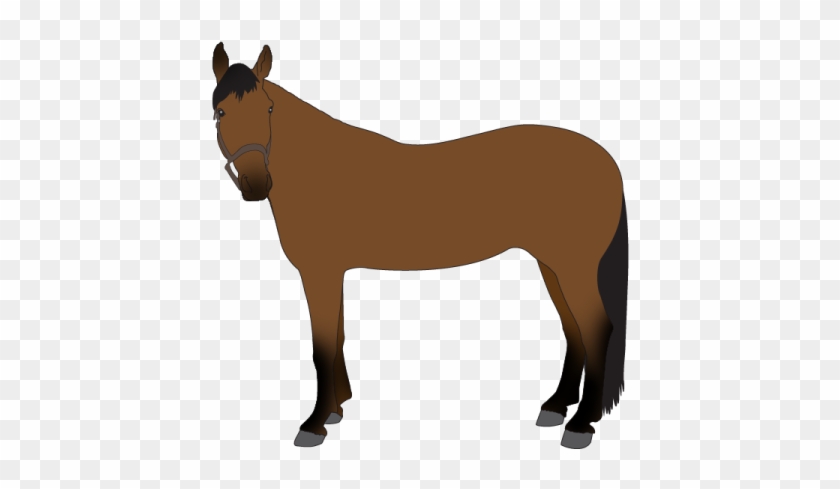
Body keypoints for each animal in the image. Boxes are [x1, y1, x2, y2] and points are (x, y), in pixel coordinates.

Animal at [210, 43, 628, 449]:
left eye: (268, 108)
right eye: (220, 111)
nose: (255, 183)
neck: (322, 171)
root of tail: (606, 160)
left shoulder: (320, 272)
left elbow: (323, 345)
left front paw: (314, 424)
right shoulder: (332, 272)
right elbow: (337, 337)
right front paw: (336, 410)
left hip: (574, 266)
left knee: (594, 328)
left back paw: (580, 424)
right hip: (552, 265)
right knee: (573, 328)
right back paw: (556, 406)